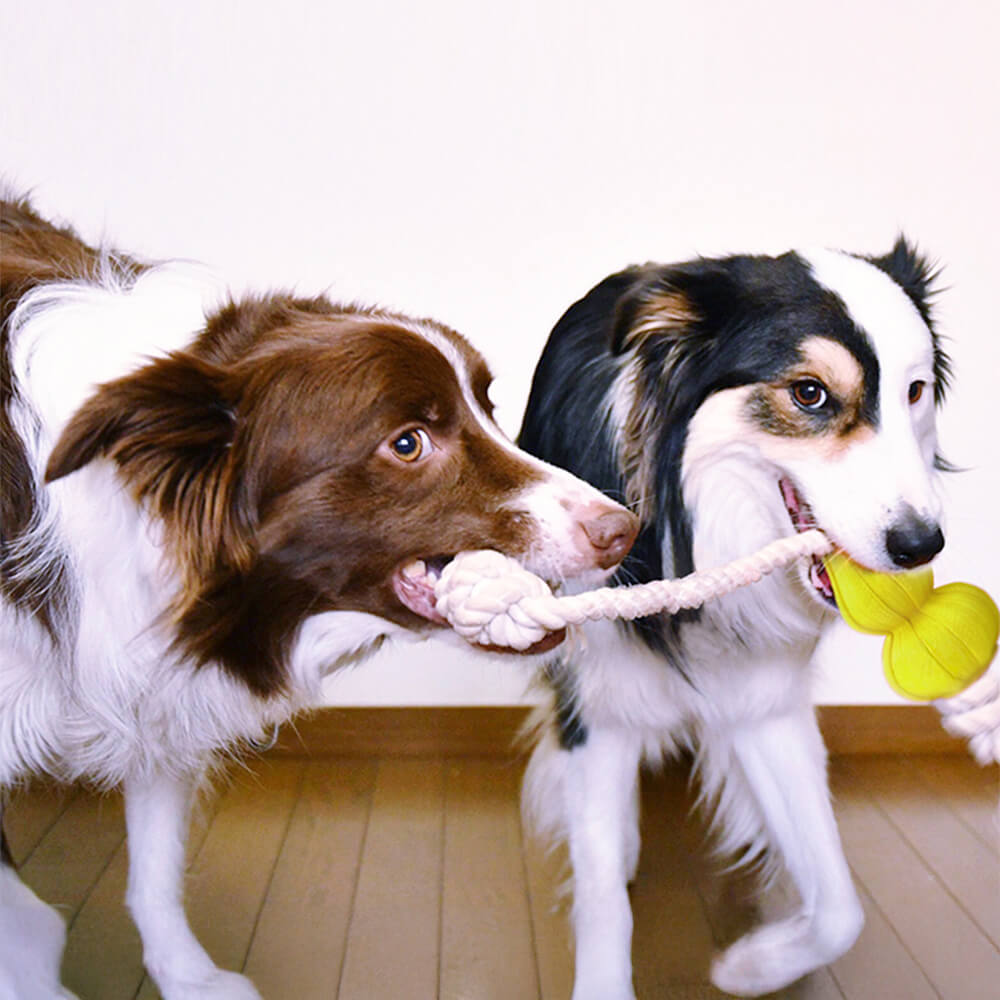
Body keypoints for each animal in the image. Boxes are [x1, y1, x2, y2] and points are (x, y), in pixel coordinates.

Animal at [0, 197, 636, 1000]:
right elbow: (23, 921)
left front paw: (189, 978)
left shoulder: (155, 682)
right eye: (407, 443)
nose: (623, 528)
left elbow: (155, 866)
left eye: (490, 408)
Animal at [516, 244, 960, 1000]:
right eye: (809, 394)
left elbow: (840, 908)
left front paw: (752, 965)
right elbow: (602, 894)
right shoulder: (600, 696)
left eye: (915, 392)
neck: (692, 533)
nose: (920, 546)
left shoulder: (765, 701)